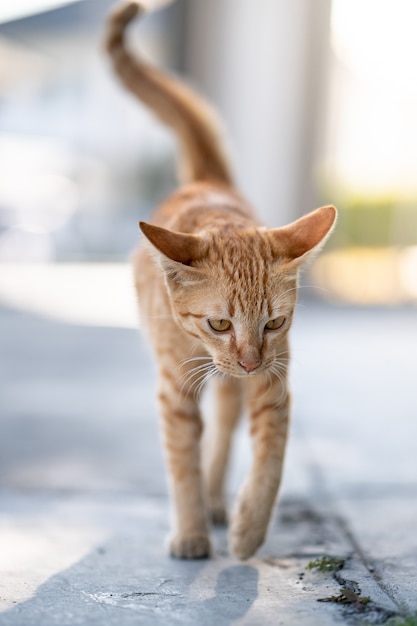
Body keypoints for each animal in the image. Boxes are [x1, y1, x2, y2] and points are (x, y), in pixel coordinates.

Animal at [105, 2, 336, 560]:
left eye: (273, 324)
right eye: (218, 324)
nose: (249, 360)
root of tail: (207, 180)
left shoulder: (274, 384)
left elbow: (270, 460)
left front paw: (249, 528)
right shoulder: (175, 390)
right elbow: (181, 463)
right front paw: (190, 532)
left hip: (237, 388)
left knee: (225, 434)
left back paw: (218, 501)